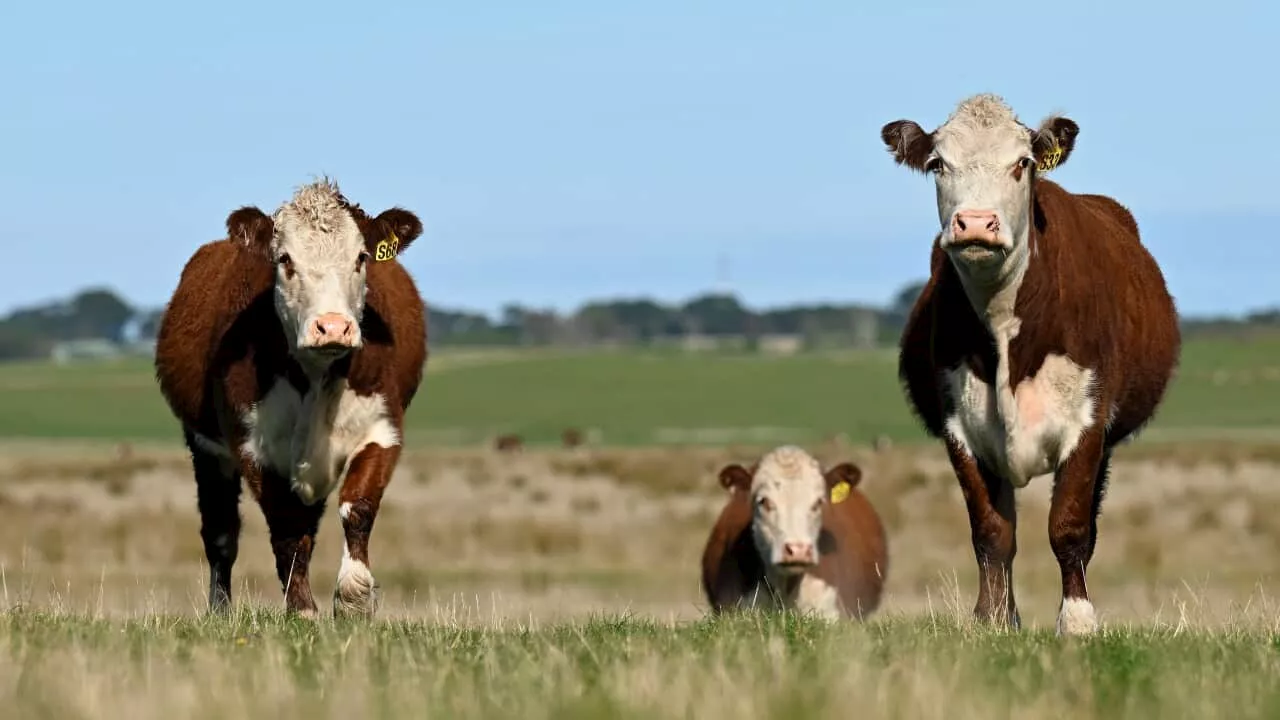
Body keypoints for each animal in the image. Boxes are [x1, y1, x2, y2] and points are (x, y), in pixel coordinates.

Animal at [880, 90, 1177, 632]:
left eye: (1022, 163)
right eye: (937, 164)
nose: (976, 222)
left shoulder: (1088, 423)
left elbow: (1070, 526)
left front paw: (1077, 620)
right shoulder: (961, 428)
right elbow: (992, 532)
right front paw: (995, 618)